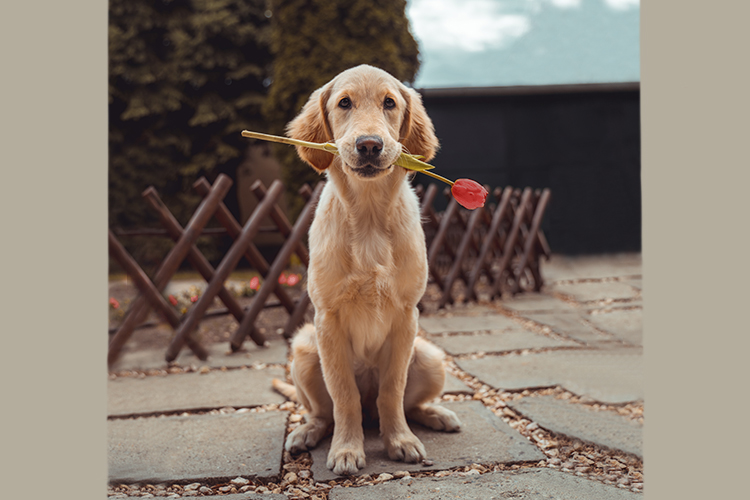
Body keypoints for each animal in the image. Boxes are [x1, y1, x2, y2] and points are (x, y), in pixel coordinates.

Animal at [280, 64, 462, 474]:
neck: (368, 217)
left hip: (430, 357)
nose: (368, 145)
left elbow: (392, 390)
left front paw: (400, 441)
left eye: (389, 103)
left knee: (404, 404)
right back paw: (306, 433)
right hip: (304, 350)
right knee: (324, 412)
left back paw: (435, 415)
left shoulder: (406, 316)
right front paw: (347, 449)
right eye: (344, 103)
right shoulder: (327, 319)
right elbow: (343, 394)